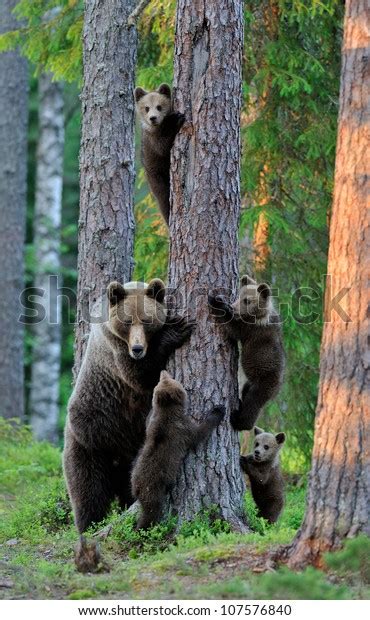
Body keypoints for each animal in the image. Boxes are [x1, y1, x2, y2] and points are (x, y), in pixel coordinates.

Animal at [63, 278, 194, 532]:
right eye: (126, 321)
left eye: (146, 320)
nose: (137, 348)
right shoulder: (115, 349)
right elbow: (140, 376)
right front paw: (177, 329)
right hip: (90, 441)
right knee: (88, 492)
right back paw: (88, 527)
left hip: (130, 455)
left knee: (127, 490)